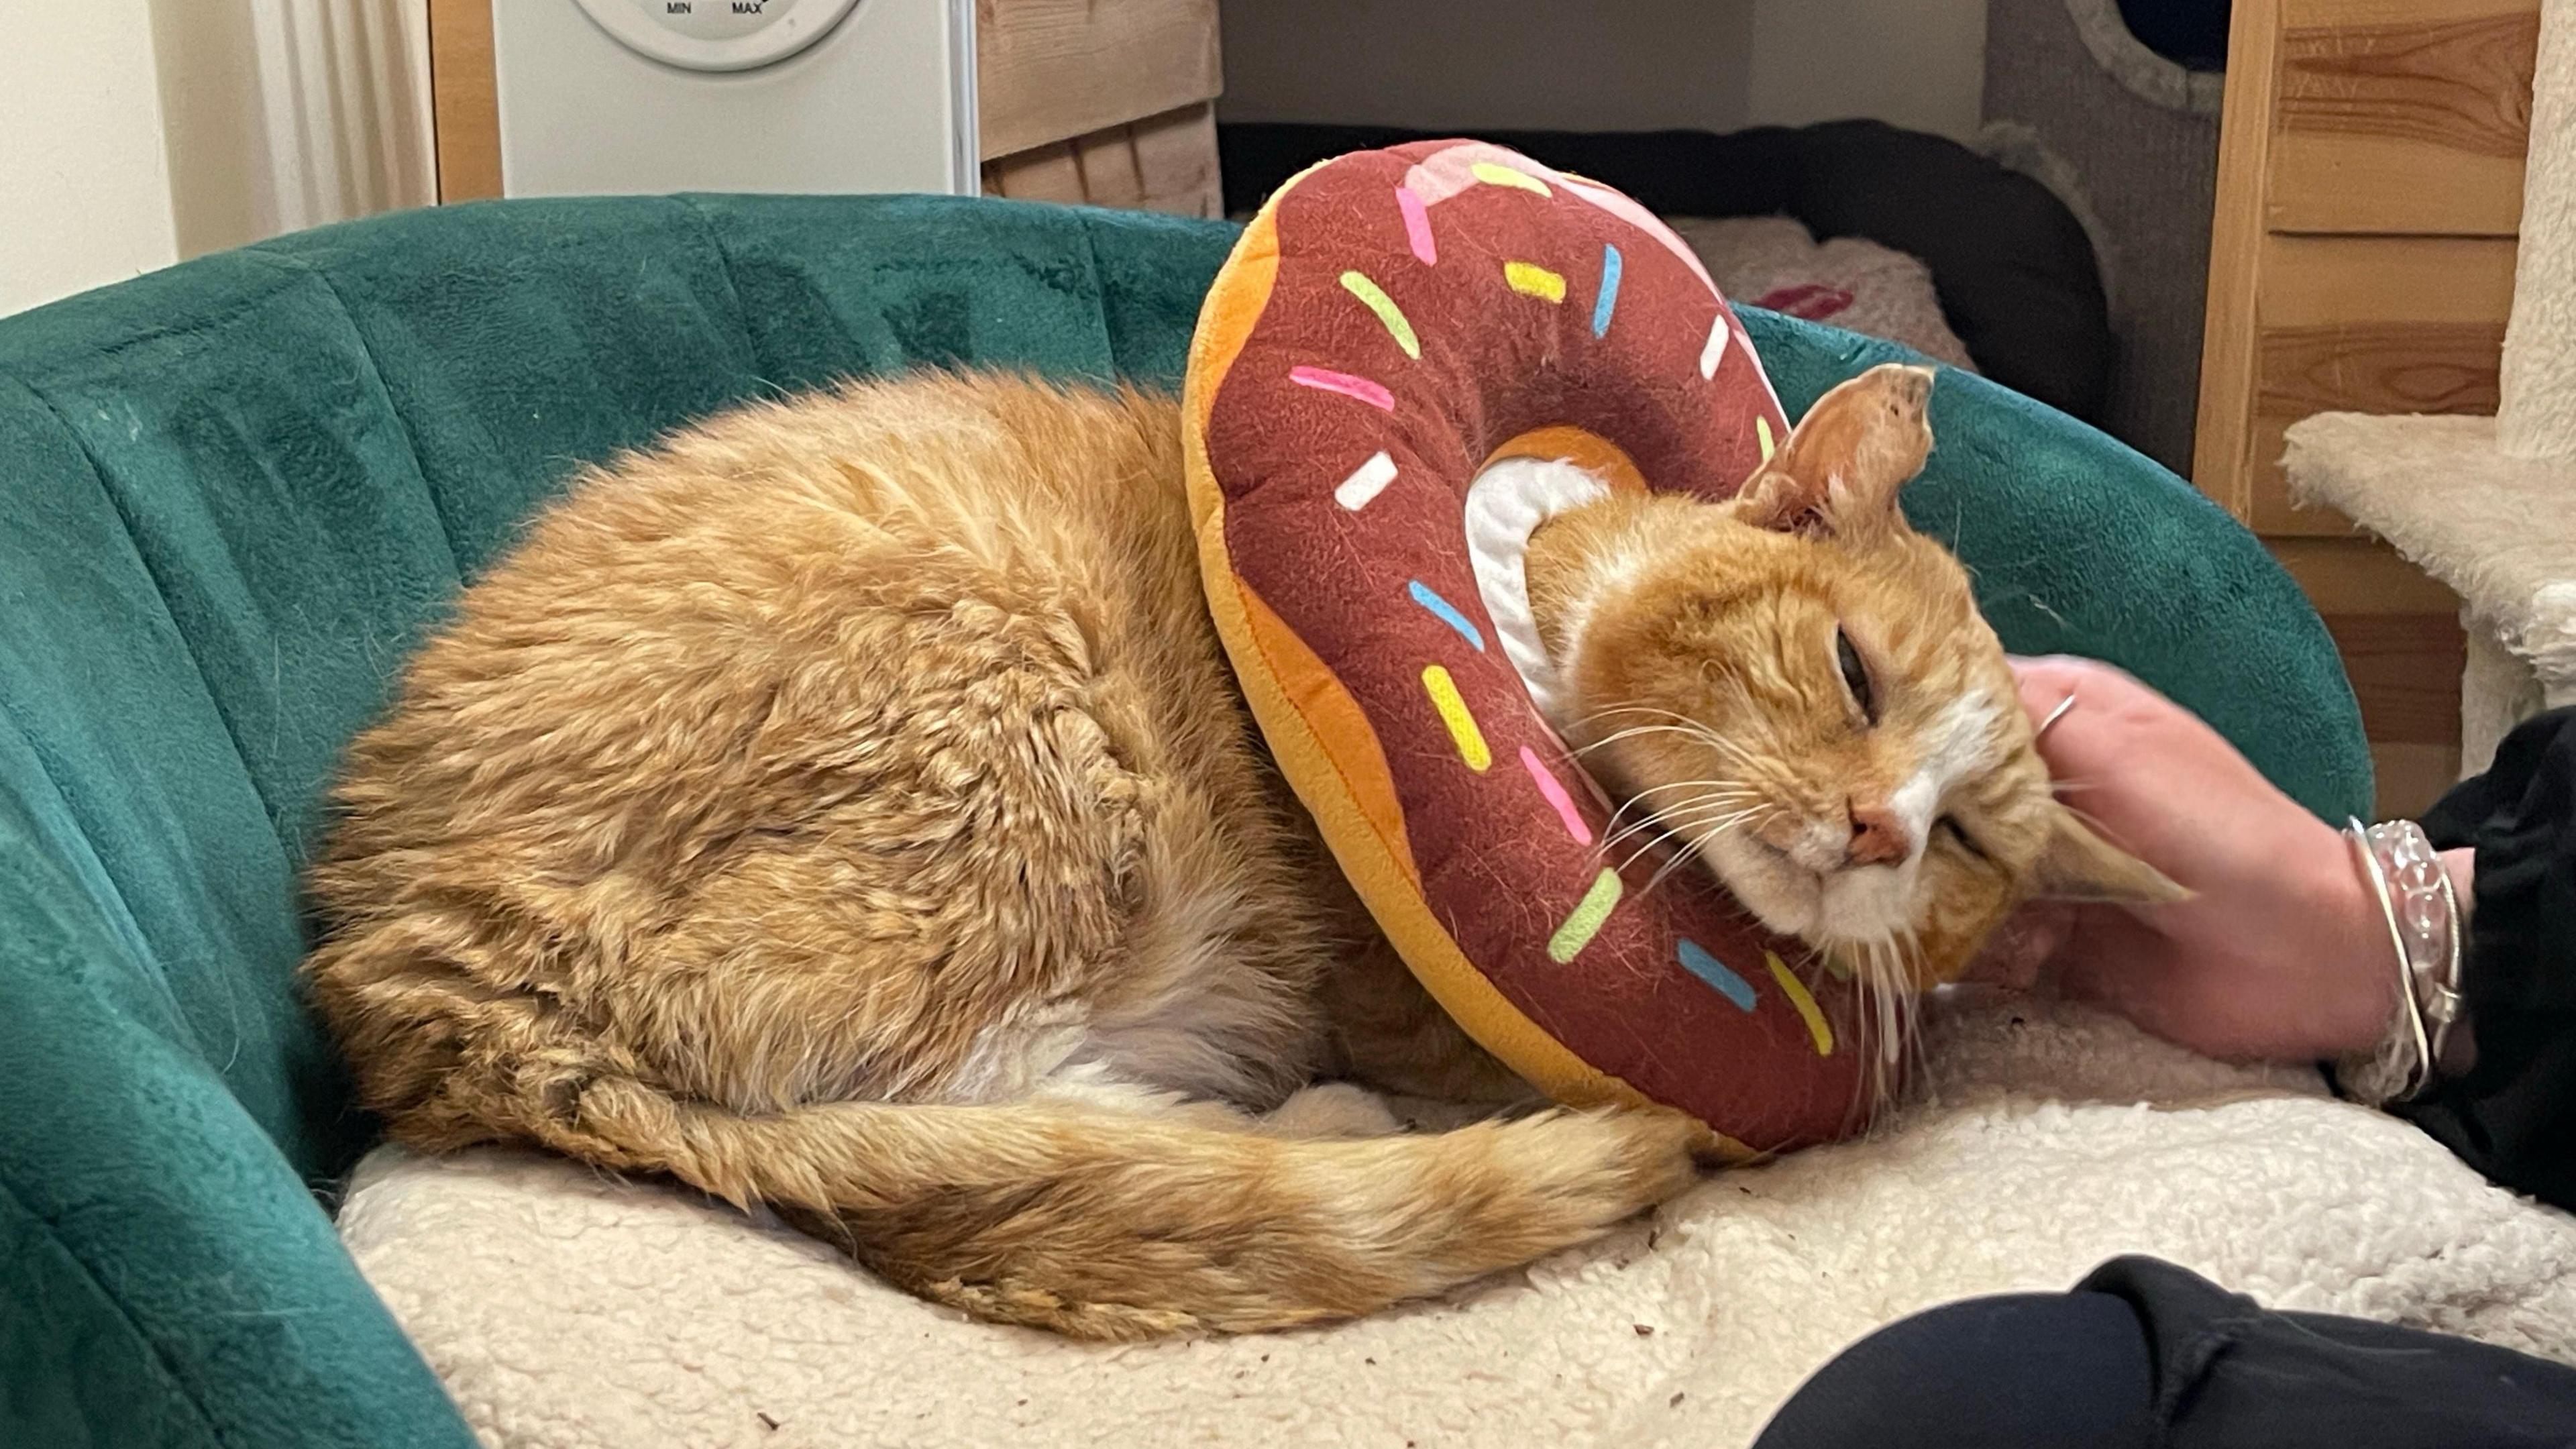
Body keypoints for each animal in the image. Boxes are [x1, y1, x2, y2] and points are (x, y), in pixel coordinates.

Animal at [296, 358, 2174, 1330]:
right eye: (1852, 674)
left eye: (1966, 842)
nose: (1876, 825)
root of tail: (409, 964)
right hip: (1014, 731)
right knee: (941, 1095)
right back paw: (1312, 1119)